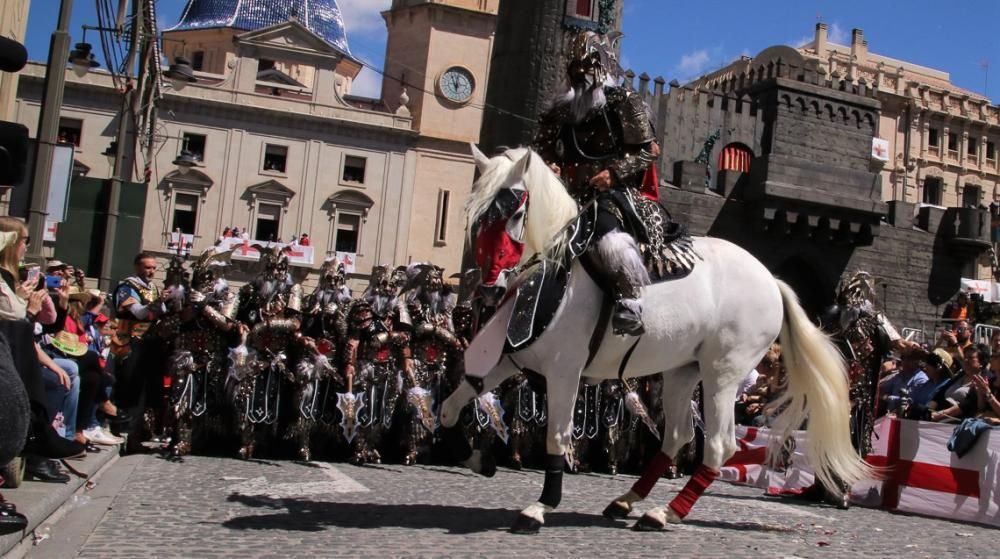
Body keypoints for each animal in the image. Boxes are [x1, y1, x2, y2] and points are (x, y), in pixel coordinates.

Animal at [442, 145, 872, 532]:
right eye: (476, 216)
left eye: (515, 213)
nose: (490, 287)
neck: (556, 270)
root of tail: (771, 280)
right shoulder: (508, 358)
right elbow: (453, 403)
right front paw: (472, 455)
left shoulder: (564, 371)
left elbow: (558, 435)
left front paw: (541, 506)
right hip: (683, 372)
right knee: (678, 436)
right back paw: (627, 500)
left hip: (722, 375)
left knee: (719, 445)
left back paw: (665, 513)